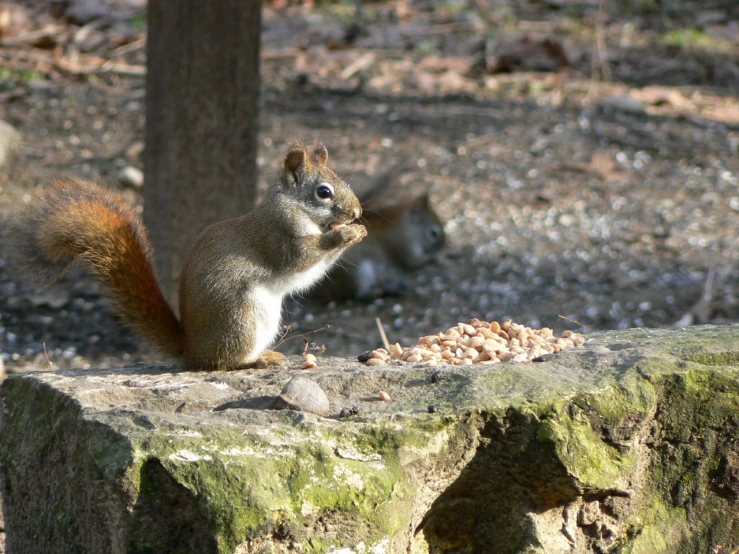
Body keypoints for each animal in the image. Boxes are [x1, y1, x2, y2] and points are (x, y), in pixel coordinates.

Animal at [10, 142, 368, 368]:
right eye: (324, 192)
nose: (357, 212)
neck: (293, 207)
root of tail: (191, 349)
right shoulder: (279, 236)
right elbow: (303, 258)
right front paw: (346, 234)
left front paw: (358, 231)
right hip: (240, 319)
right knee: (221, 364)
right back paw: (258, 360)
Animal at [306, 191, 446, 302]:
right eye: (434, 233)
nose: (444, 246)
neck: (407, 227)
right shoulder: (404, 245)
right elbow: (415, 262)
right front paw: (438, 257)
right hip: (360, 274)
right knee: (358, 296)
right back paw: (378, 292)